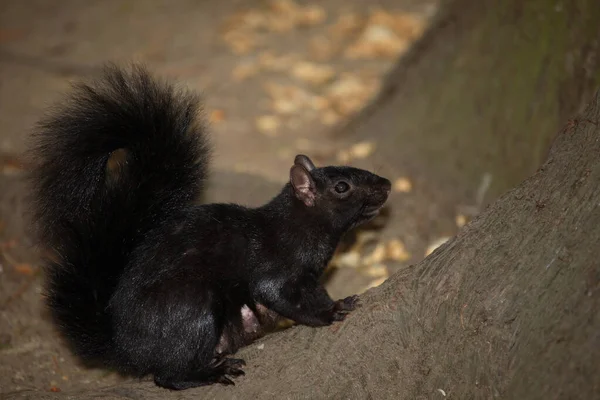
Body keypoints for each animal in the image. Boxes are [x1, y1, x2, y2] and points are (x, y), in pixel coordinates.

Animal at [28, 63, 392, 390]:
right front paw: (330, 313)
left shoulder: (310, 277)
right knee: (168, 375)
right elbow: (282, 297)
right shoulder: (275, 266)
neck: (301, 229)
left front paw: (334, 301)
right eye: (342, 187)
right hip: (191, 308)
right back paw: (211, 373)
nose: (387, 184)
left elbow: (313, 293)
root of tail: (126, 349)